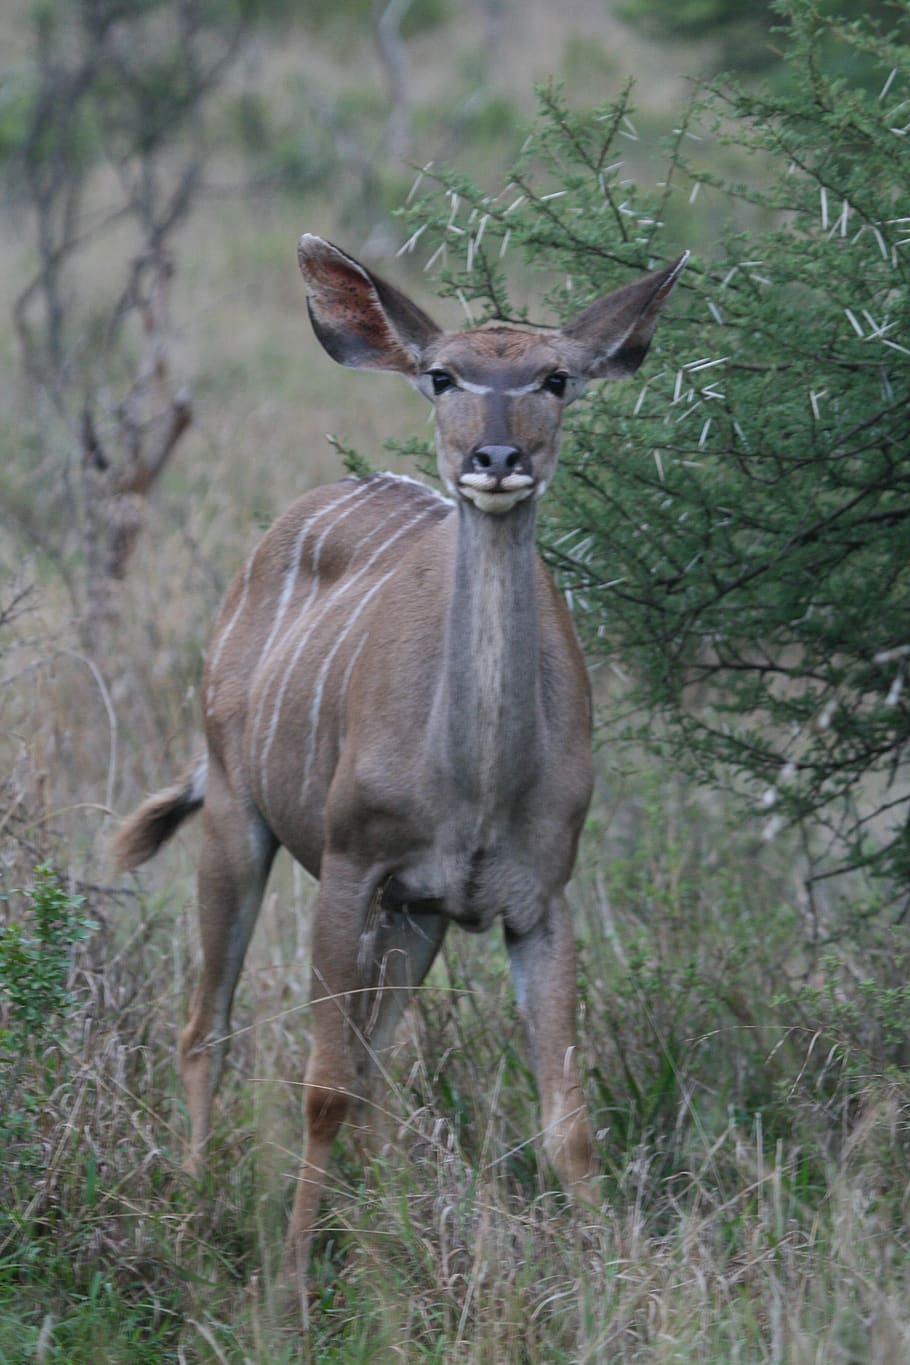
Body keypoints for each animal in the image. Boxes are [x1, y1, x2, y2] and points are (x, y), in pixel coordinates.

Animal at [113, 234, 687, 1284]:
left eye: (556, 378)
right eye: (442, 375)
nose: (495, 459)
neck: (477, 785)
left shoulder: (534, 901)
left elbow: (567, 1119)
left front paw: (611, 1276)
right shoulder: (351, 868)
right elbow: (322, 1087)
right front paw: (293, 1281)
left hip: (415, 919)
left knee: (374, 1072)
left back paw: (375, 1221)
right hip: (237, 821)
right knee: (207, 1025)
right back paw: (193, 1196)